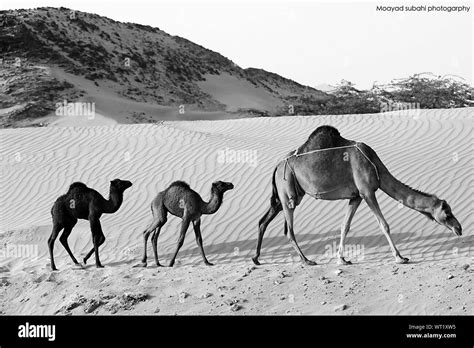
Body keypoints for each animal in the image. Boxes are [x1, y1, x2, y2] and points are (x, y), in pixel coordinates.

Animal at [252, 126, 462, 266]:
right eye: (447, 213)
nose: (459, 228)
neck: (376, 166)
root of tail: (277, 165)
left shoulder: (356, 196)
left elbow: (345, 226)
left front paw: (342, 259)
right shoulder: (367, 191)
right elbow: (384, 224)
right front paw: (400, 257)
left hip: (284, 195)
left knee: (264, 220)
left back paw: (256, 259)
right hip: (288, 191)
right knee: (289, 229)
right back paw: (306, 260)